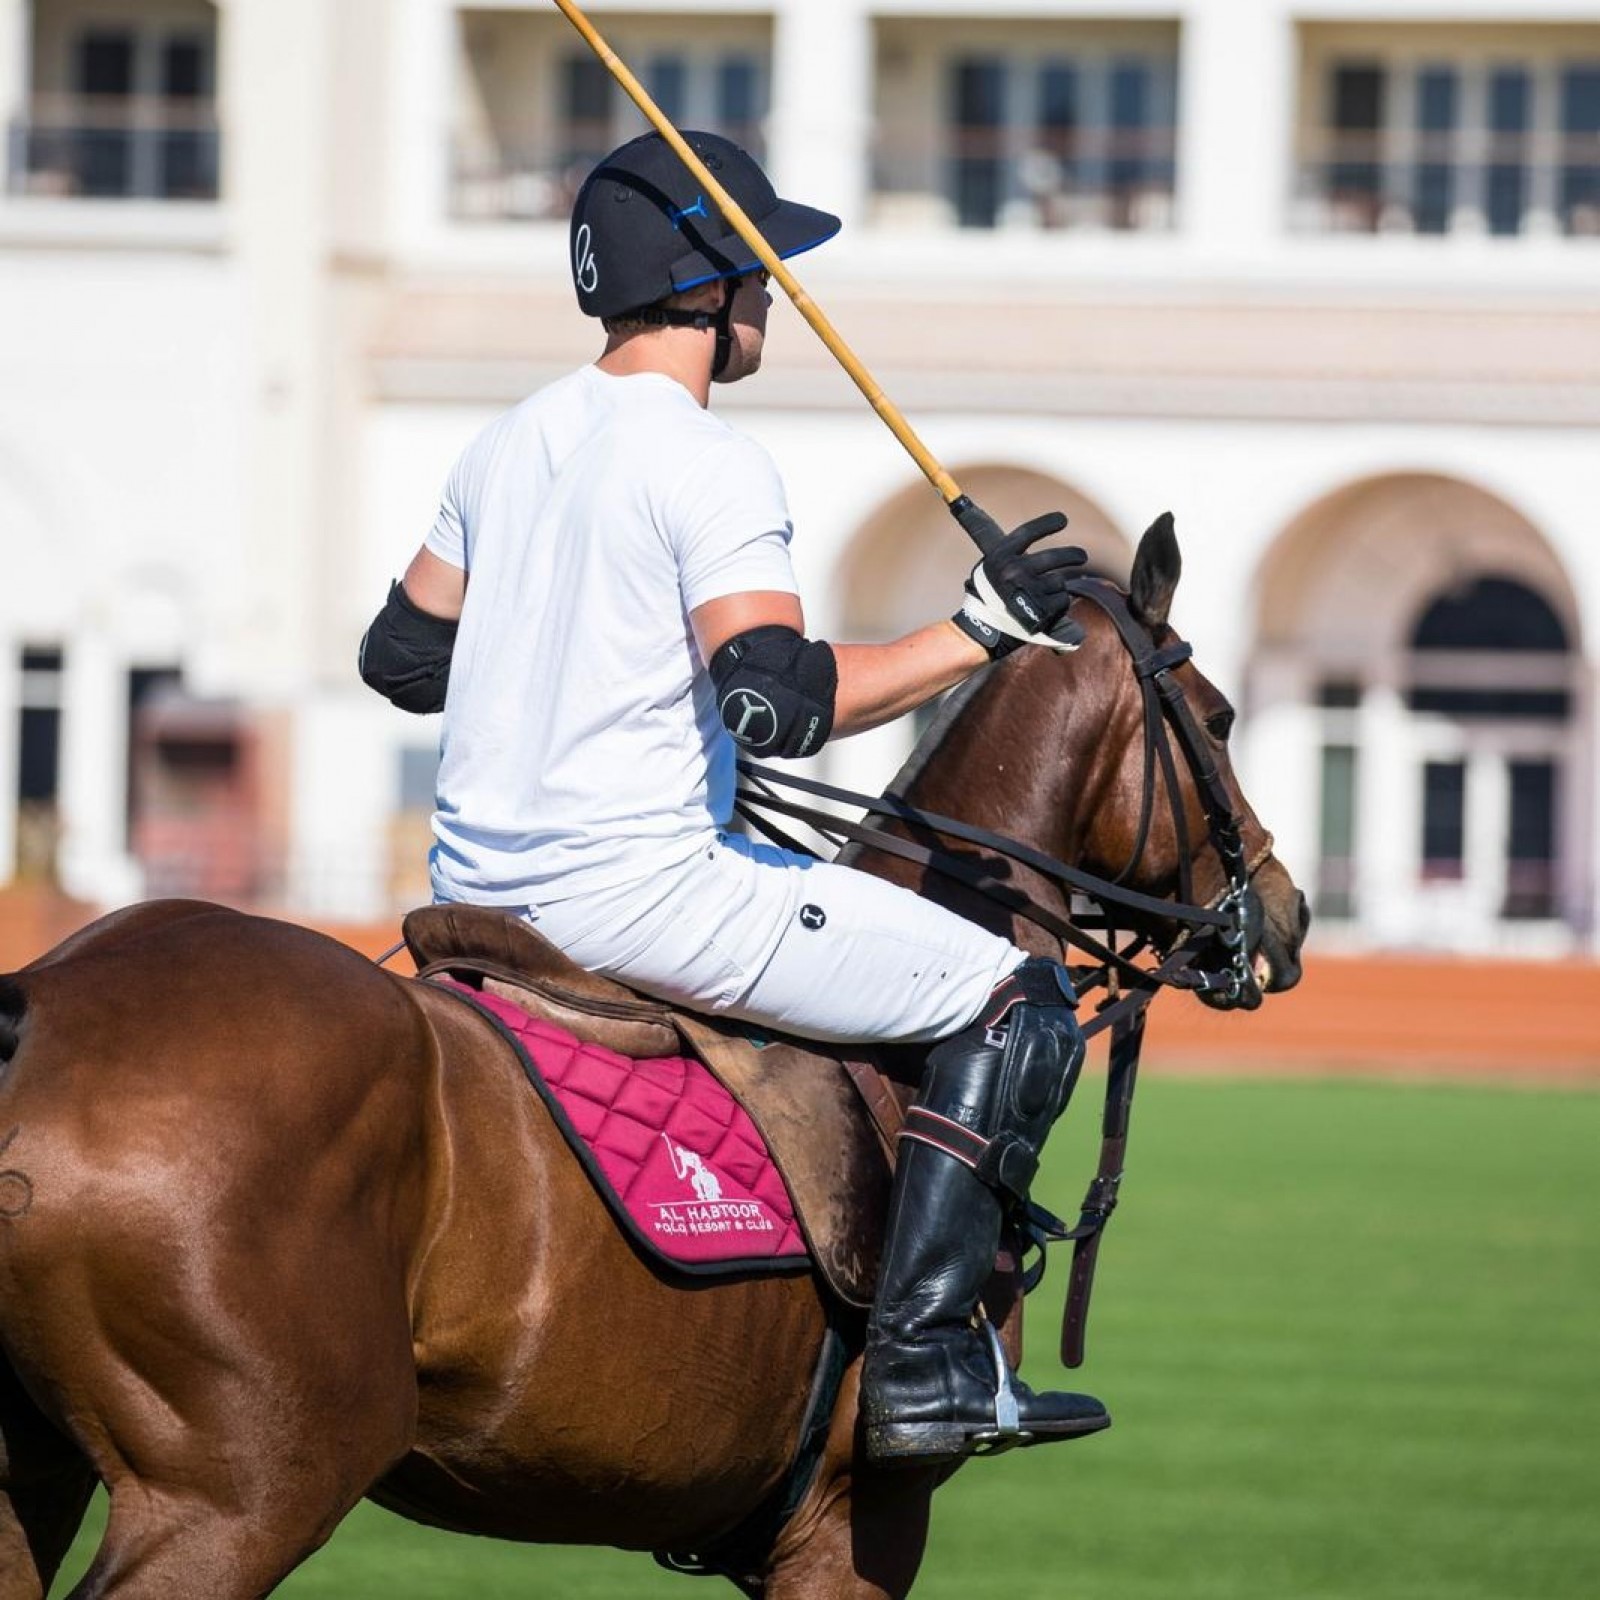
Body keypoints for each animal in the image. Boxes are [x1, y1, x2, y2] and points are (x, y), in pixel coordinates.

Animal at [0, 518, 1305, 1593]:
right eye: (1220, 719)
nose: (1284, 919)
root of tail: (40, 1003)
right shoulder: (859, 1521)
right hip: (244, 1488)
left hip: (45, 1477)